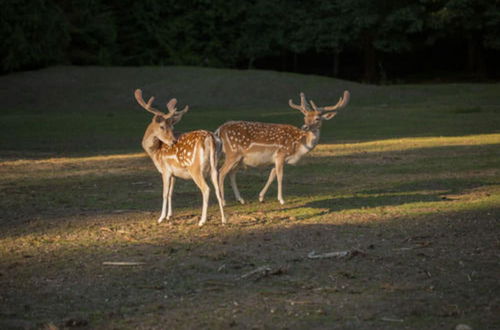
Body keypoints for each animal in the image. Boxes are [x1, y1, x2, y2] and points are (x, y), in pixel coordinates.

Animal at [135, 89, 225, 226]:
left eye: (172, 127)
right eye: (162, 126)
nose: (173, 141)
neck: (155, 152)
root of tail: (211, 138)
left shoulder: (165, 170)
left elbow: (164, 193)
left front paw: (161, 218)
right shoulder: (174, 173)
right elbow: (171, 193)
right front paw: (169, 216)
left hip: (195, 168)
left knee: (206, 189)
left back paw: (202, 221)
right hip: (215, 166)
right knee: (217, 187)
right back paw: (224, 220)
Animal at [217, 89, 350, 205]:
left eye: (317, 118)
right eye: (305, 117)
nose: (304, 127)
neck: (299, 146)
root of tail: (219, 130)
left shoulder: (276, 159)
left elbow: (272, 175)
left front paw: (261, 197)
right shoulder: (281, 154)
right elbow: (280, 177)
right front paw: (281, 200)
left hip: (239, 158)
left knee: (231, 173)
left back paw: (241, 199)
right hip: (232, 153)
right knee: (221, 172)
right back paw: (223, 201)